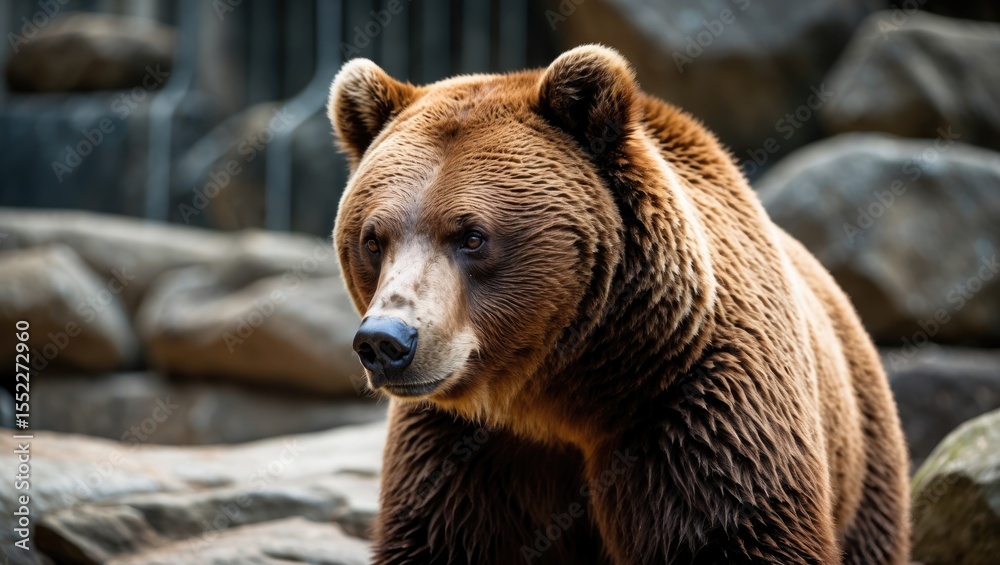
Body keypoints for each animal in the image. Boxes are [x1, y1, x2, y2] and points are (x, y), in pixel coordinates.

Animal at [328, 45, 910, 564]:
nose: (385, 341)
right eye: (373, 239)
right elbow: (440, 537)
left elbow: (739, 532)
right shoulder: (457, 446)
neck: (561, 394)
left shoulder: (697, 407)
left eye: (472, 236)